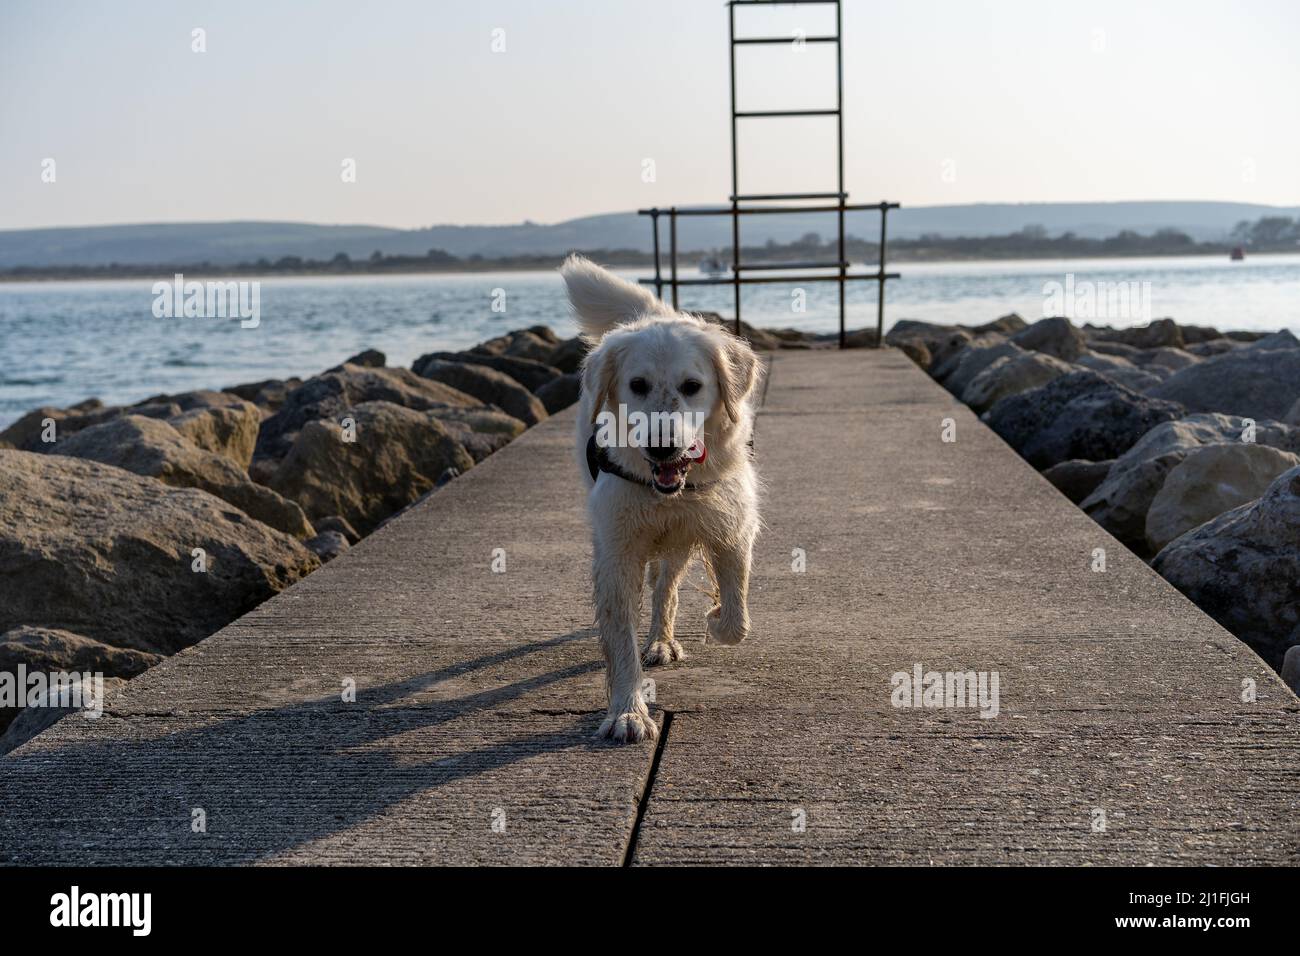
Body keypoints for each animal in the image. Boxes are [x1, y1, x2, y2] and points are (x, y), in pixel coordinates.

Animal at [559, 256, 759, 749]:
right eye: (637, 384)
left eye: (692, 386)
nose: (662, 445)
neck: (667, 491)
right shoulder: (617, 552)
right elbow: (620, 641)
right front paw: (627, 713)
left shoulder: (731, 526)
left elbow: (736, 617)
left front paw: (714, 617)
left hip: (677, 546)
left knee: (665, 587)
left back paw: (662, 640)